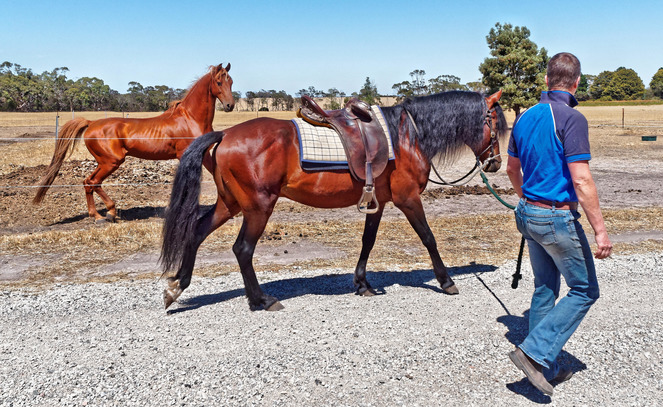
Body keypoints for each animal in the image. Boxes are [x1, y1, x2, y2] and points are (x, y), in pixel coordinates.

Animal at [34, 63, 236, 223]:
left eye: (231, 82)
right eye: (219, 82)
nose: (230, 106)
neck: (190, 118)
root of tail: (91, 123)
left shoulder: (204, 153)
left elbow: (217, 175)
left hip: (104, 162)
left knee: (87, 182)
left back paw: (96, 215)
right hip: (111, 161)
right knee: (93, 182)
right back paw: (108, 213)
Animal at [161, 91, 508, 310]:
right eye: (494, 123)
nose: (495, 164)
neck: (407, 136)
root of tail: (225, 134)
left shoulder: (379, 202)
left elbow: (368, 242)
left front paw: (363, 284)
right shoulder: (408, 199)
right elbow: (428, 238)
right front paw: (446, 280)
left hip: (230, 203)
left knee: (197, 230)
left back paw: (177, 286)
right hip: (258, 207)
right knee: (242, 249)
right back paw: (261, 300)